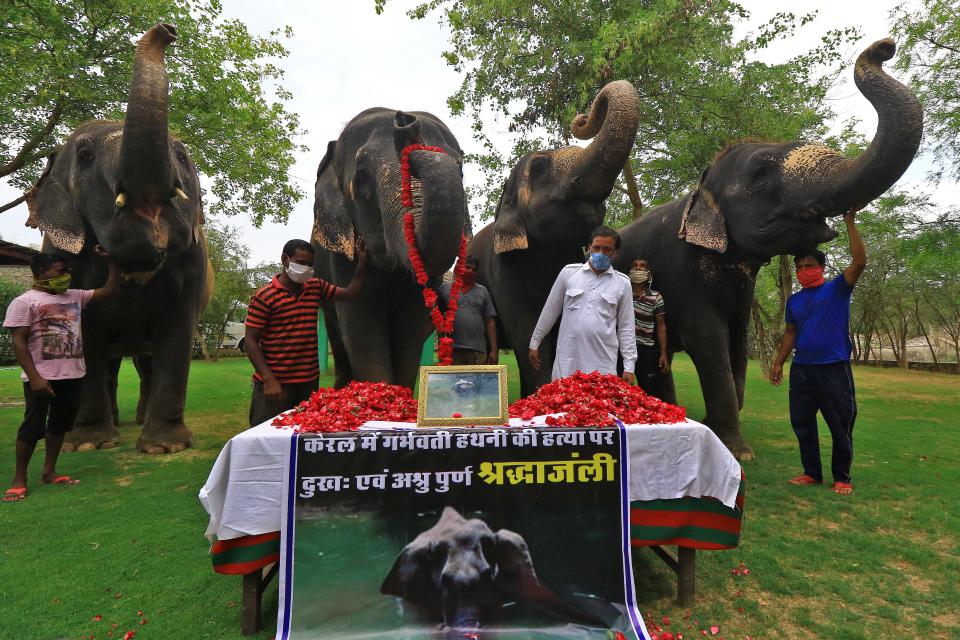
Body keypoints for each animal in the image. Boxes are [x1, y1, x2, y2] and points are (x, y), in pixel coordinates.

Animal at [25, 25, 212, 452]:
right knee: (109, 365)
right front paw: (89, 444)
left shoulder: (193, 267)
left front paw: (164, 447)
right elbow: (85, 338)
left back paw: (139, 420)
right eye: (85, 157)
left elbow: (177, 338)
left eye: (181, 155)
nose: (166, 30)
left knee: (145, 363)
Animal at [312, 108, 468, 388]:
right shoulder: (340, 255)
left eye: (461, 170)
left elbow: (410, 329)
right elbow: (361, 326)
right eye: (362, 179)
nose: (405, 120)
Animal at [616, 38, 924, 460]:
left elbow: (737, 343)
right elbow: (708, 342)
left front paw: (715, 428)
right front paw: (737, 450)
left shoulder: (740, 293)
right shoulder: (682, 275)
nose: (885, 46)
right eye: (761, 174)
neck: (700, 189)